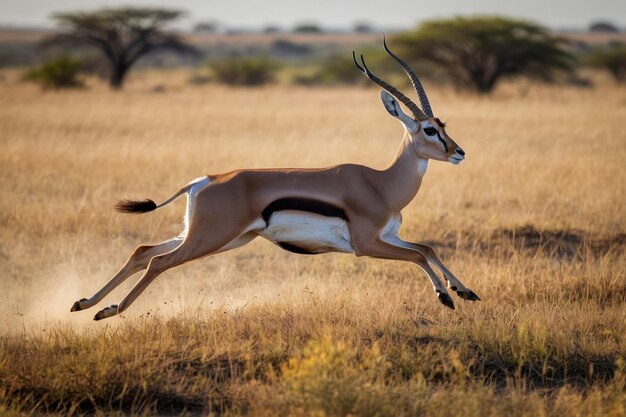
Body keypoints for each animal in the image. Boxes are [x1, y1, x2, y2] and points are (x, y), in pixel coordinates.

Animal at [72, 38, 478, 318]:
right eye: (428, 129)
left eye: (442, 124)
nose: (459, 152)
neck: (381, 185)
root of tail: (204, 180)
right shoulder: (367, 244)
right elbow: (419, 256)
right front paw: (445, 296)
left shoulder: (389, 236)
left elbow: (427, 249)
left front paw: (466, 292)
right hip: (210, 238)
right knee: (157, 262)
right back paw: (109, 311)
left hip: (220, 238)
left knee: (143, 251)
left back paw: (85, 304)